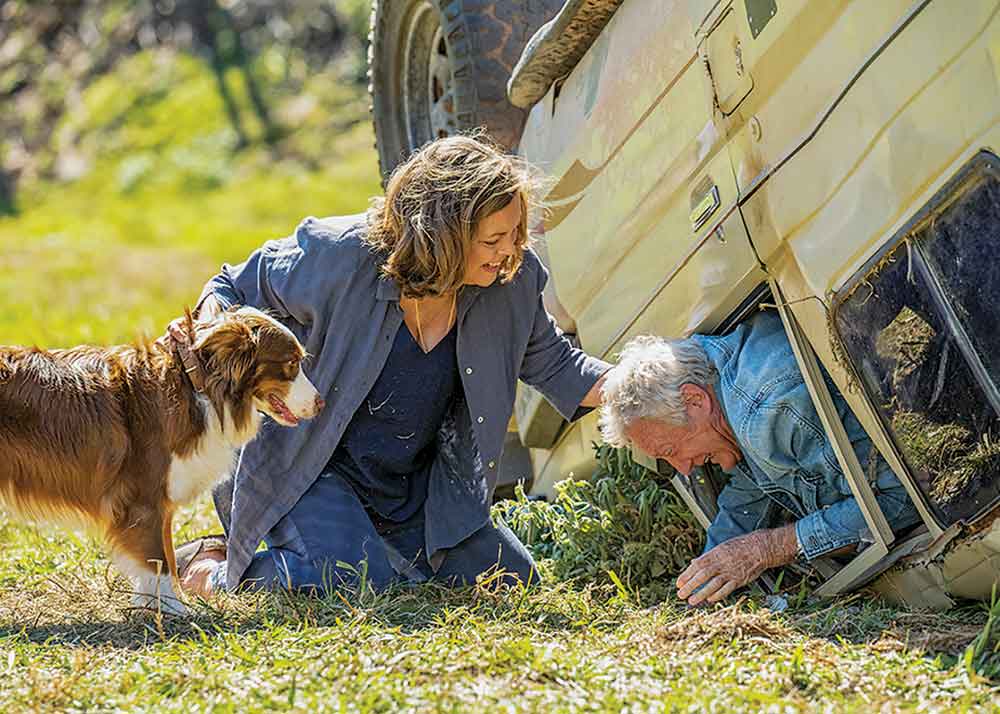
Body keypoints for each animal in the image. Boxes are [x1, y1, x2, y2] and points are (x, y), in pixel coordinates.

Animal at [0, 306, 322, 612]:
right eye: (291, 363)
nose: (321, 403)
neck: (195, 385)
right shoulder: (143, 500)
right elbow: (159, 561)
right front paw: (173, 610)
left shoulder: (160, 502)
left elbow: (166, 553)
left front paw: (158, 603)